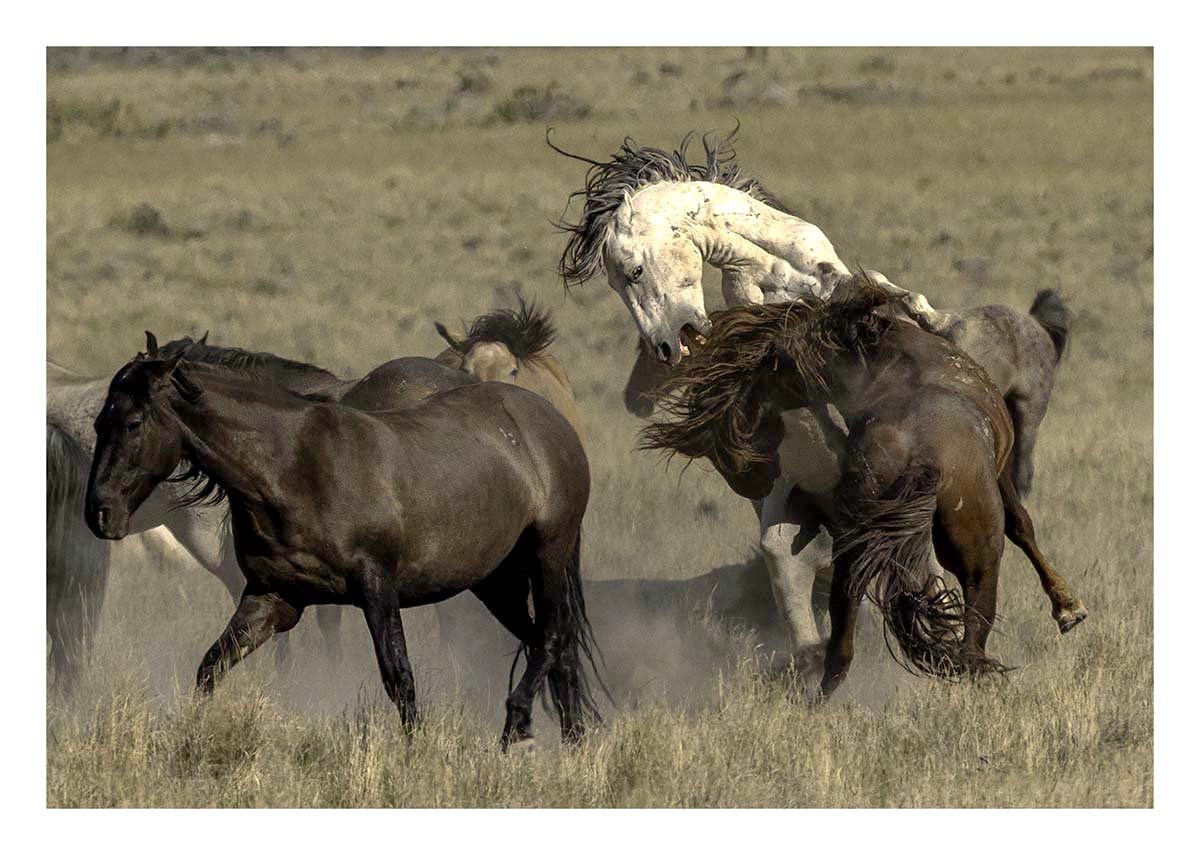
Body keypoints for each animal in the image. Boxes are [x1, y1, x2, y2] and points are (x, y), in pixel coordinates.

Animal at [84, 335, 602, 748]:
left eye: (132, 423)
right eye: (97, 424)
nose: (99, 514)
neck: (292, 467)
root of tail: (550, 420)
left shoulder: (377, 588)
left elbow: (398, 676)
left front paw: (416, 754)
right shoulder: (273, 599)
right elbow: (210, 667)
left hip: (547, 554)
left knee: (551, 637)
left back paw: (518, 729)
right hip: (495, 581)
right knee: (550, 645)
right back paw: (574, 744)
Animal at [642, 278, 1089, 697]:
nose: (749, 477)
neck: (887, 356)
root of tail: (922, 455)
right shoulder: (1001, 473)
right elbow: (1022, 526)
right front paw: (1069, 608)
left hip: (856, 557)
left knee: (842, 642)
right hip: (978, 553)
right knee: (972, 640)